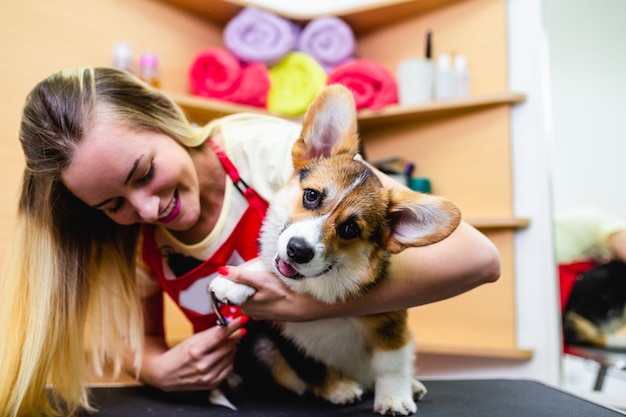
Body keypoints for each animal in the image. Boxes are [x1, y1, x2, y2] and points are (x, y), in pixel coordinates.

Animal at [208, 83, 458, 412]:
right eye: (312, 195)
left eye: (350, 229)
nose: (297, 250)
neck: (324, 284)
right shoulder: (285, 335)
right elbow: (310, 365)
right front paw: (234, 282)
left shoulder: (392, 323)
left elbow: (391, 364)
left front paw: (393, 398)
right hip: (262, 345)